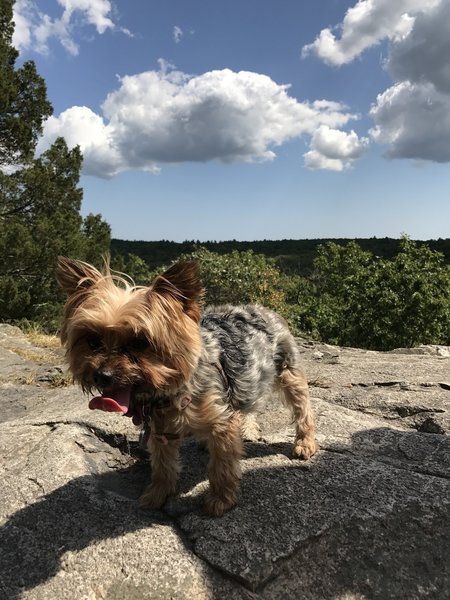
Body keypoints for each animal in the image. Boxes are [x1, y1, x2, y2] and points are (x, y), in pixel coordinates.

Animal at [56, 256, 318, 516]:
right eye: (92, 341)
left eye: (140, 343)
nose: (103, 375)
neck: (167, 392)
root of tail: (260, 308)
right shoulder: (158, 428)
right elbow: (163, 465)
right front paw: (157, 495)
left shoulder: (222, 419)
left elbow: (222, 464)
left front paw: (221, 500)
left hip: (287, 370)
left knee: (301, 406)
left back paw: (304, 443)